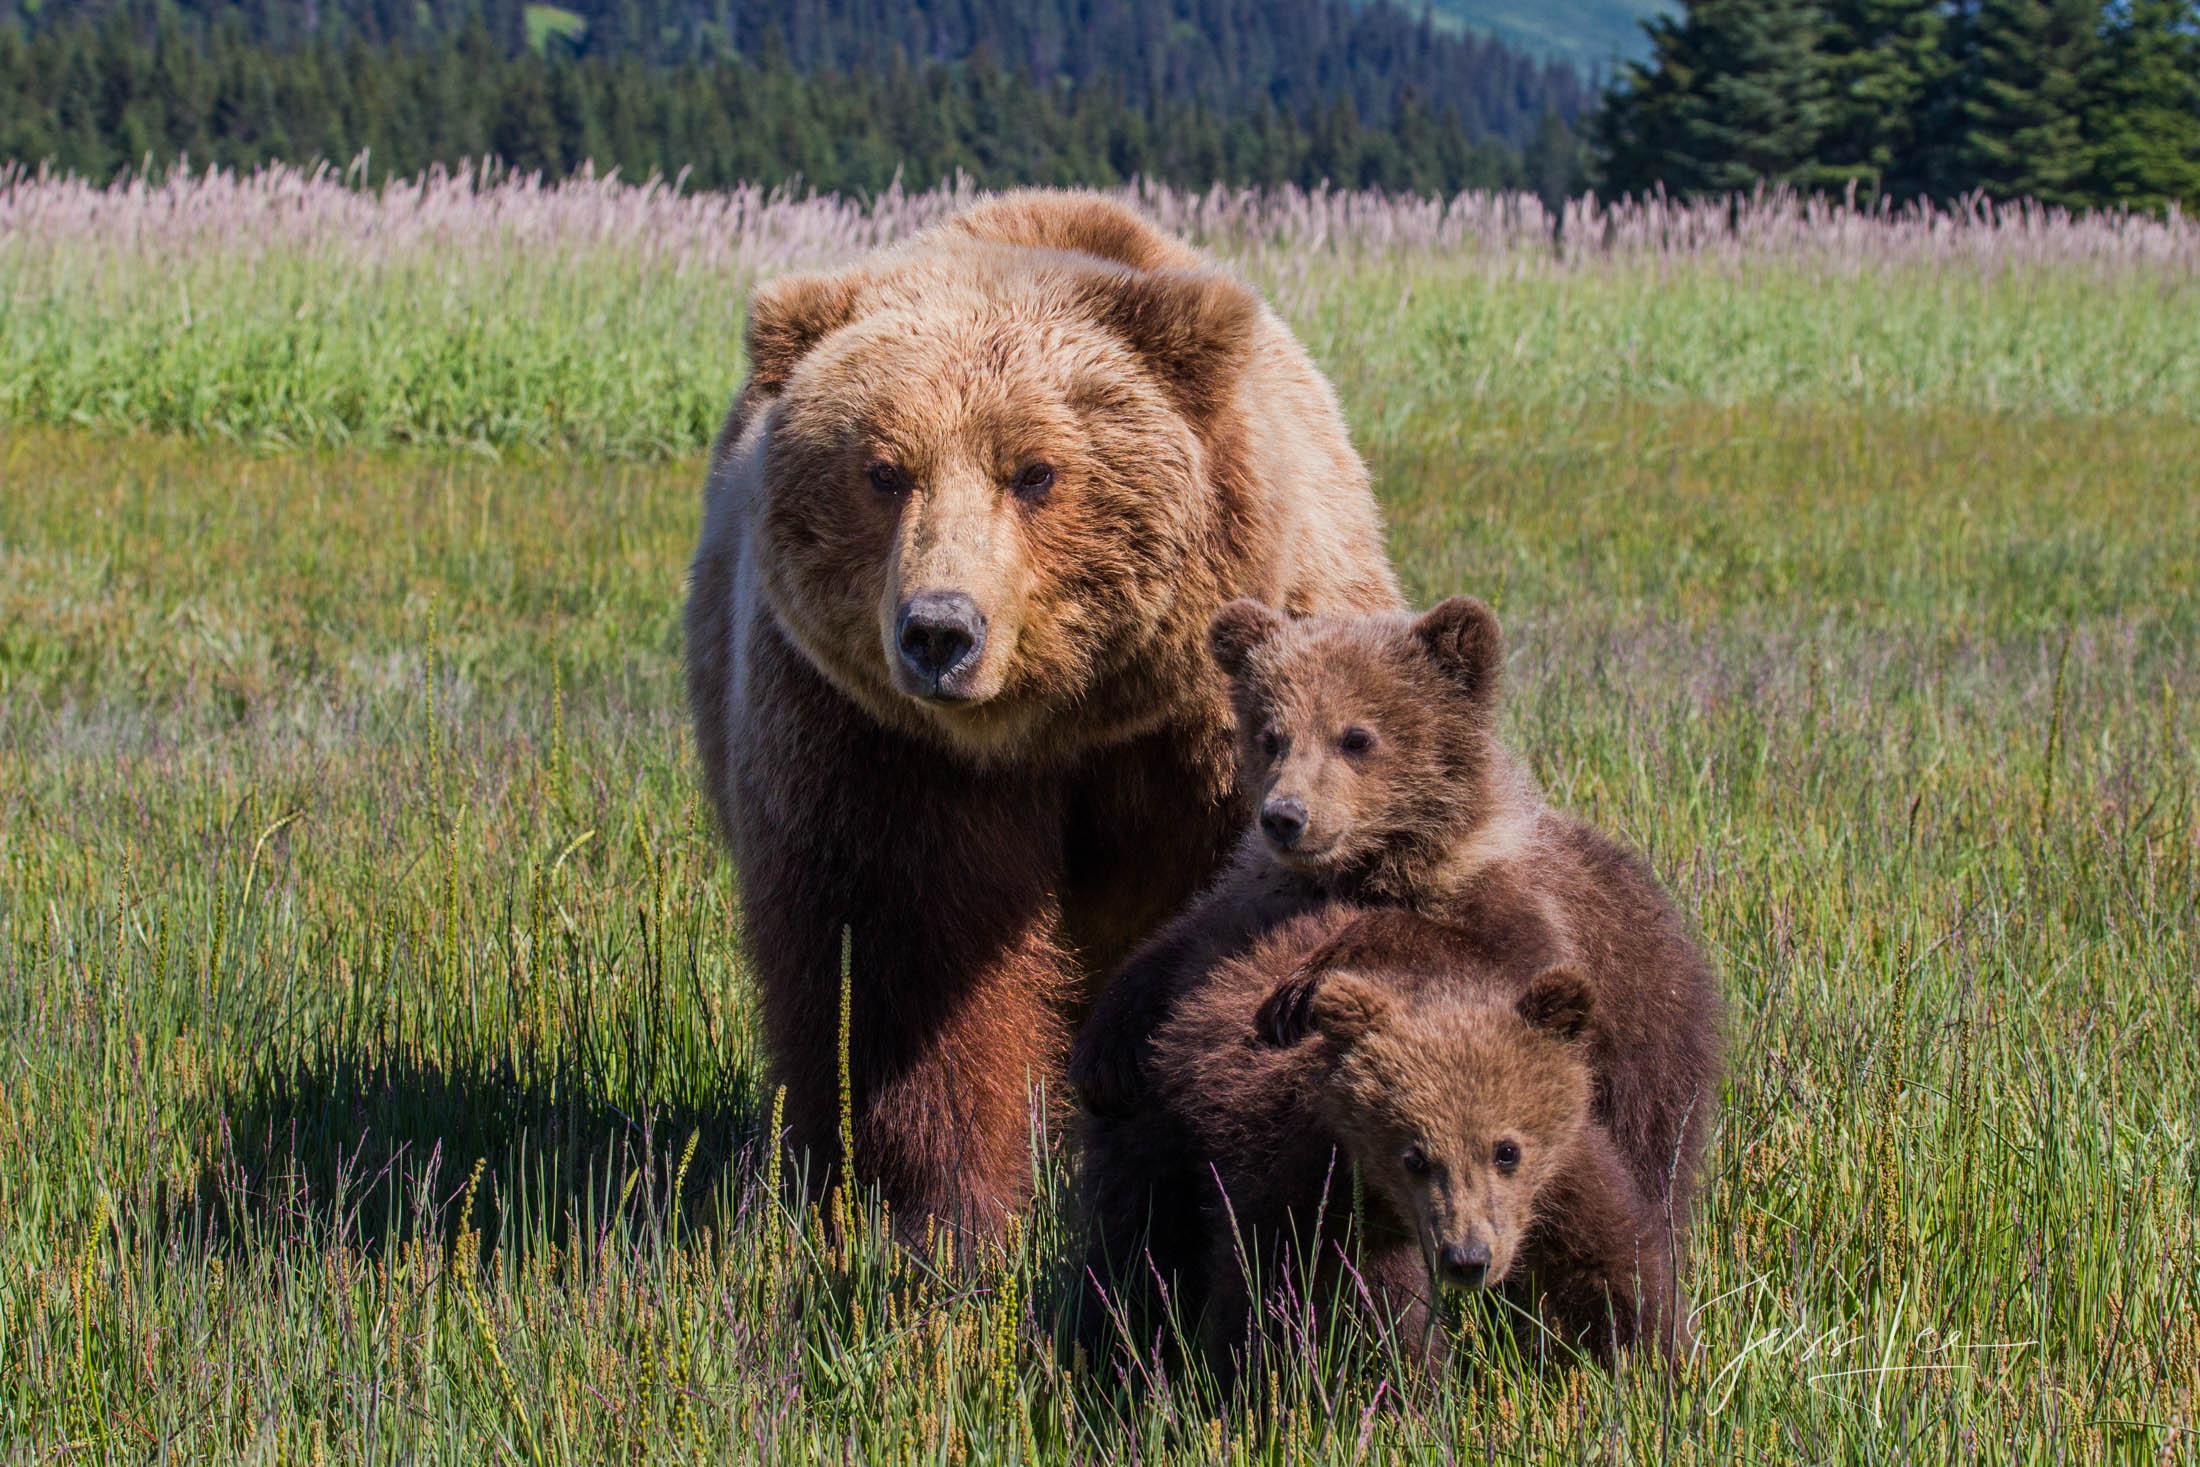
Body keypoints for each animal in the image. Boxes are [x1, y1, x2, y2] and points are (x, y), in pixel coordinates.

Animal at [686, 192, 1399, 1240]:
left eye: (1035, 472)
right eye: (884, 469)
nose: (940, 630)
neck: (1064, 721)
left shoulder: (1217, 736)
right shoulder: (873, 739)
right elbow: (907, 958)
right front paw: (942, 1210)